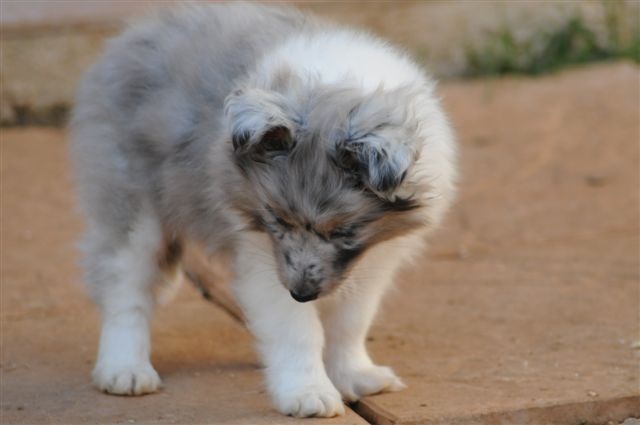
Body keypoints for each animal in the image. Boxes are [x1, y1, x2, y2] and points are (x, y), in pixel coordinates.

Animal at [71, 3, 456, 420]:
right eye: (276, 218)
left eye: (342, 231)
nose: (302, 294)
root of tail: (132, 35)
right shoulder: (262, 254)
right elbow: (298, 330)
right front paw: (308, 393)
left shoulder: (371, 259)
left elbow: (350, 321)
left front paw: (354, 375)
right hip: (133, 208)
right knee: (125, 289)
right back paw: (125, 370)